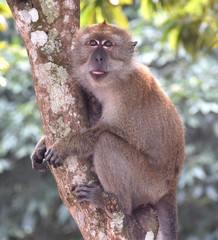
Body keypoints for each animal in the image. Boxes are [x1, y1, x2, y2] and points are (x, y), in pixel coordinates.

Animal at [31, 23, 185, 240]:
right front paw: (41, 146)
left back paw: (113, 201)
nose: (98, 58)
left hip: (149, 184)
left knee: (106, 142)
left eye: (108, 44)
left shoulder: (129, 92)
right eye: (92, 43)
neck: (112, 80)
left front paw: (65, 146)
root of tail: (170, 187)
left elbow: (104, 130)